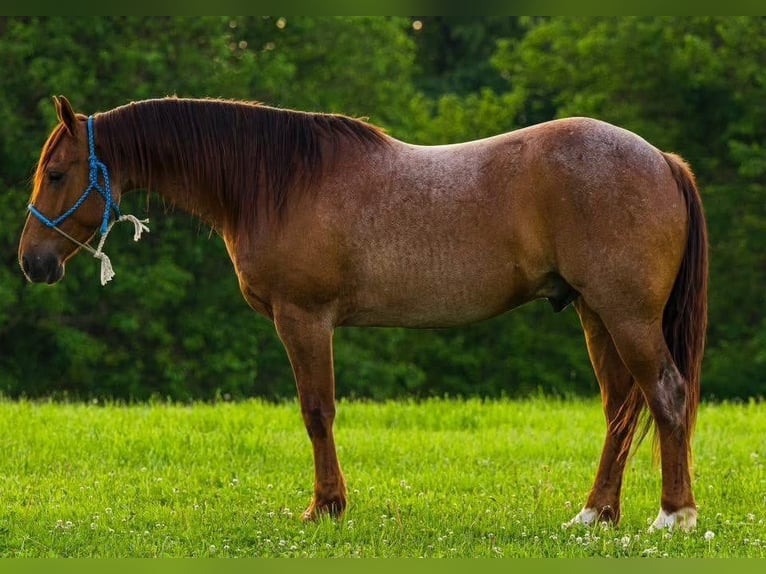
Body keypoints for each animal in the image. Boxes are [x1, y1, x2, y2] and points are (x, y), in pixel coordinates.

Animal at [18, 96, 707, 531]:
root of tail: (662, 160)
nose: (31, 262)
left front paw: (325, 507)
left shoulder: (303, 319)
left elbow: (317, 412)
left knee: (666, 395)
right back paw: (595, 514)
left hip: (626, 315)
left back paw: (673, 516)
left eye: (57, 173)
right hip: (596, 314)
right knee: (621, 409)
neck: (276, 182)